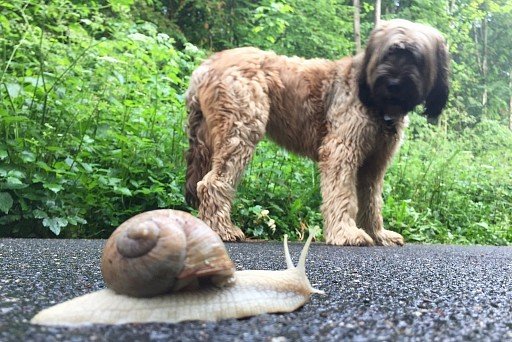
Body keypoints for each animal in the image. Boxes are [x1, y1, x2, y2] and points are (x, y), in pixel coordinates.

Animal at [184, 19, 448, 246]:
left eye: (415, 58)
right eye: (389, 53)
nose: (393, 83)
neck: (374, 101)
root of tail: (205, 67)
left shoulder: (374, 164)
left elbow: (371, 202)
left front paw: (378, 234)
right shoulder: (341, 150)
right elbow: (342, 194)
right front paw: (346, 233)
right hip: (240, 131)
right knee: (211, 183)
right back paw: (222, 229)